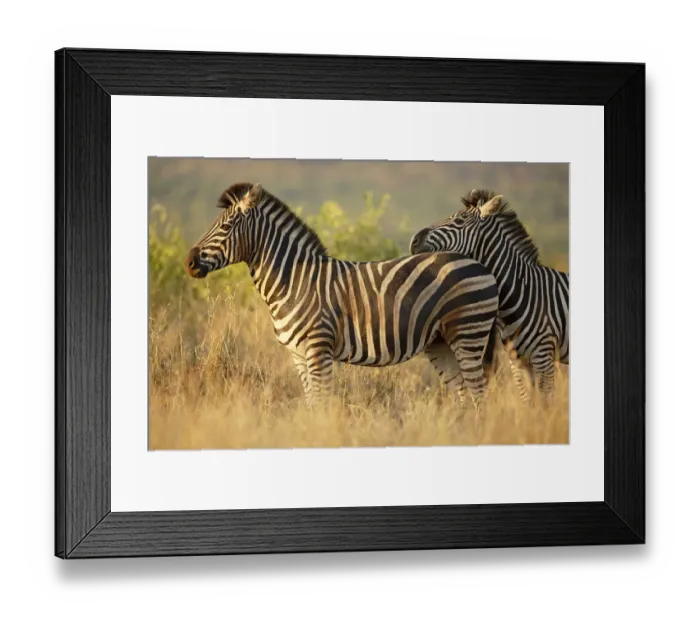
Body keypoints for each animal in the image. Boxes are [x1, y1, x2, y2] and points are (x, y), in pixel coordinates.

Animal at [185, 182, 500, 409]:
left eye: (225, 227)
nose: (189, 261)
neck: (294, 280)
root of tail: (479, 264)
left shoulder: (318, 349)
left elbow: (321, 403)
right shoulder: (298, 355)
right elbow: (312, 404)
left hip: (469, 333)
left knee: (479, 393)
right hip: (441, 342)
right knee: (464, 395)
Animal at [410, 188, 569, 401]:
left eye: (458, 221)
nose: (414, 240)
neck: (524, 292)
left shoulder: (544, 357)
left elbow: (545, 401)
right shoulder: (517, 361)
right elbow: (528, 401)